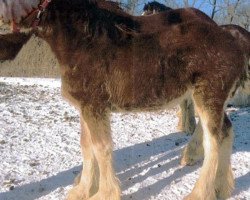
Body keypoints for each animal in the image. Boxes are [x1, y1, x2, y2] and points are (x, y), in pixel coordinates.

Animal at [0, 0, 248, 200]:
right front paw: (83, 190)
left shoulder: (95, 107)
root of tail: (232, 38)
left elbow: (101, 148)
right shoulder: (86, 107)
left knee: (213, 142)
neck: (81, 40)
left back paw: (199, 193)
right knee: (226, 131)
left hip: (207, 98)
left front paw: (104, 193)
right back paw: (221, 189)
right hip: (213, 101)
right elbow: (86, 147)